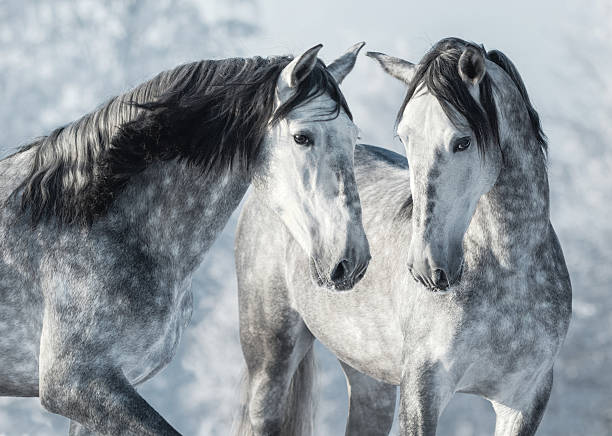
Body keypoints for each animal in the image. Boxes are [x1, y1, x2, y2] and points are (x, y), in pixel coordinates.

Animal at [235, 37, 572, 436]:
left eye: (463, 141)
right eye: (405, 138)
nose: (428, 266)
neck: (509, 271)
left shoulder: (524, 400)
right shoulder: (423, 388)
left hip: (370, 380)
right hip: (270, 355)